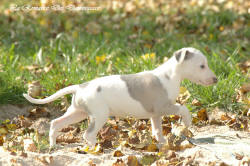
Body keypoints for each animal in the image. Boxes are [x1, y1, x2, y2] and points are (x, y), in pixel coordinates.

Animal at [23, 47, 217, 147]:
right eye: (202, 66)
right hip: (99, 115)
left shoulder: (155, 114)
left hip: (77, 112)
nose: (216, 79)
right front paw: (187, 122)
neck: (170, 76)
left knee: (56, 123)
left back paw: (53, 145)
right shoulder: (164, 106)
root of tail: (80, 86)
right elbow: (183, 108)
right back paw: (95, 150)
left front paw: (162, 143)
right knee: (88, 134)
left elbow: (157, 129)